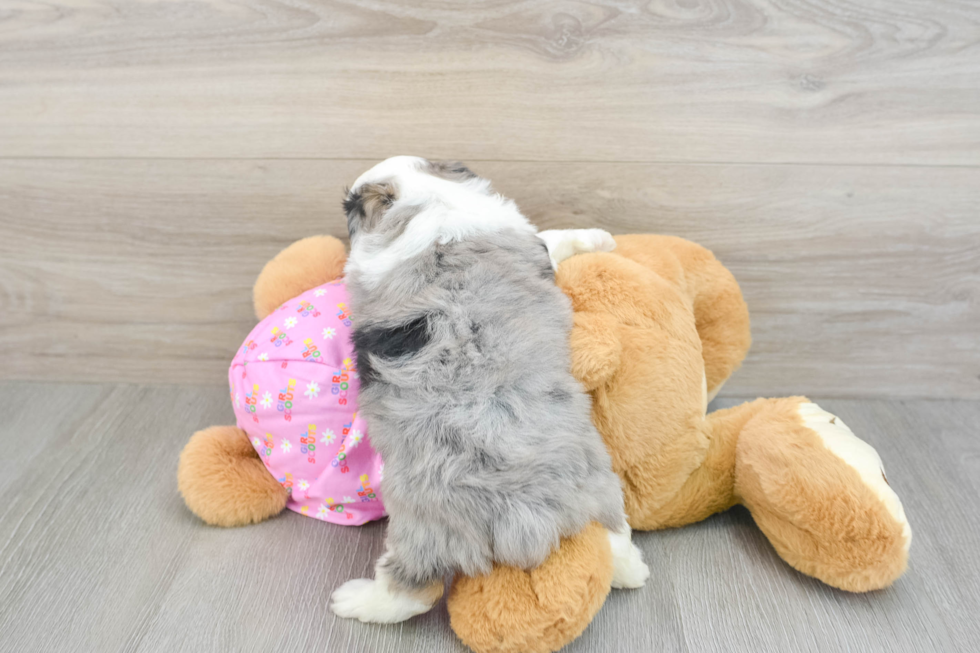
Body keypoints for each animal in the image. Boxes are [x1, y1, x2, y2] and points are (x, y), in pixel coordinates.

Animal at [332, 157, 652, 620]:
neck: (431, 200)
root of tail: (524, 513)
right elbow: (556, 238)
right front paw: (601, 238)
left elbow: (556, 236)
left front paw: (601, 238)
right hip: (597, 487)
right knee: (614, 534)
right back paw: (633, 571)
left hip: (422, 527)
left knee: (413, 590)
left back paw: (353, 600)